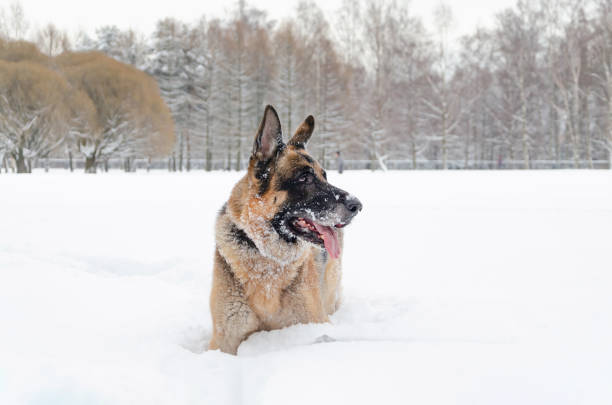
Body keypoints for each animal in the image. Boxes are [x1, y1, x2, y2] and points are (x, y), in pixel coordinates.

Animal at [210, 105, 364, 354]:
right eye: (304, 178)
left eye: (324, 176)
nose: (357, 205)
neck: (267, 260)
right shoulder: (224, 340)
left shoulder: (316, 323)